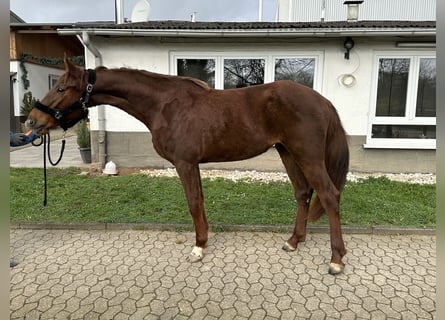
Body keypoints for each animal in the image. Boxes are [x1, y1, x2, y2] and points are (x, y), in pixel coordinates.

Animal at [26, 58, 348, 276]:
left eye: (61, 88)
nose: (32, 121)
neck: (164, 105)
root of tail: (322, 100)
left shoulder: (185, 163)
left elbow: (193, 203)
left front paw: (198, 247)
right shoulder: (192, 164)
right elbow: (200, 202)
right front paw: (203, 242)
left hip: (307, 156)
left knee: (329, 195)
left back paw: (336, 259)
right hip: (288, 153)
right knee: (303, 193)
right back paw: (293, 241)